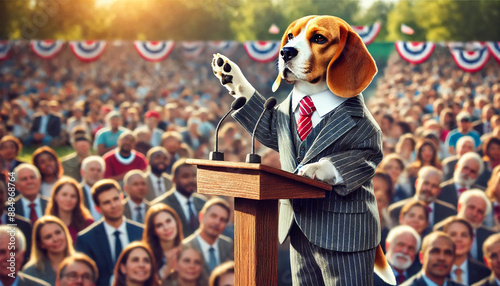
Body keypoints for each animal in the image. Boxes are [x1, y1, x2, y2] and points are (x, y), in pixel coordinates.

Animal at [211, 16, 394, 286]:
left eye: (319, 38)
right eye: (290, 36)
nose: (286, 52)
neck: (312, 94)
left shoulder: (369, 137)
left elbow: (359, 159)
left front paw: (315, 168)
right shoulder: (274, 122)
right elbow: (262, 122)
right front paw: (228, 72)